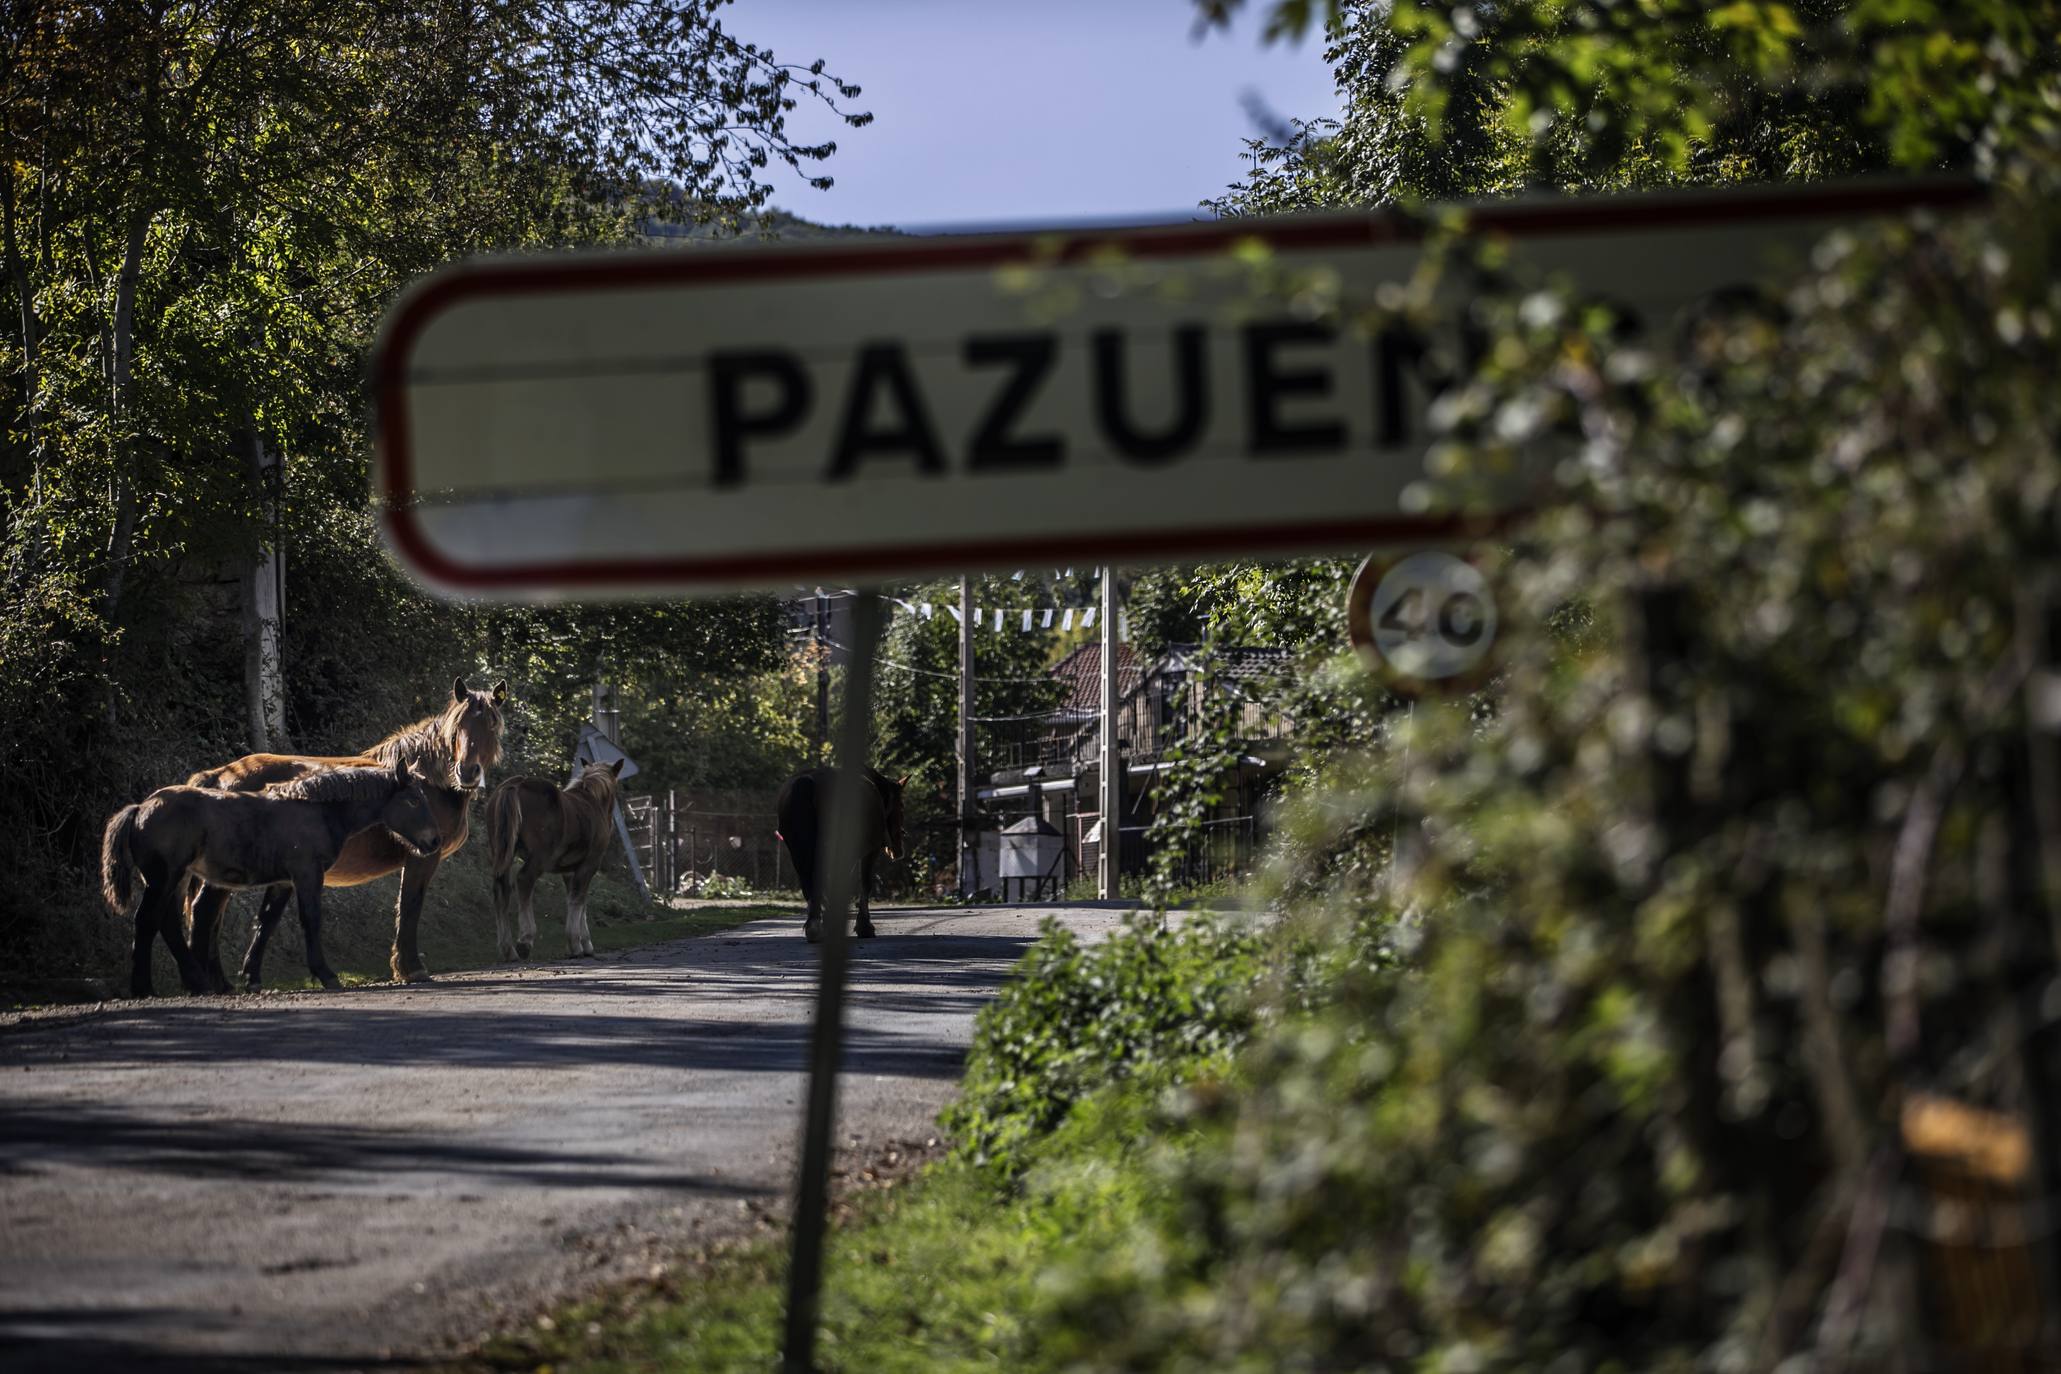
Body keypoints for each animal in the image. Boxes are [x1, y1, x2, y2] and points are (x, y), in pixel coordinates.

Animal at [100, 753, 443, 1001]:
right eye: (413, 800)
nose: (434, 841)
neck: (317, 810)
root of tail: (141, 806)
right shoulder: (307, 874)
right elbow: (311, 920)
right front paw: (326, 975)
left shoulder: (283, 881)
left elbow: (267, 921)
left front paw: (252, 978)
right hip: (164, 878)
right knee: (149, 920)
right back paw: (145, 987)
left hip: (178, 878)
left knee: (170, 921)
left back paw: (197, 982)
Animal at [184, 675, 507, 988]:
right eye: (458, 726)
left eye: (491, 724)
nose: (468, 772)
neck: (430, 780)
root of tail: (219, 775)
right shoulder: (421, 857)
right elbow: (410, 906)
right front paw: (411, 969)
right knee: (205, 913)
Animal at [486, 758, 622, 964]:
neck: (594, 802)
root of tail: (516, 784)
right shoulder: (589, 864)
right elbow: (578, 901)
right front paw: (576, 945)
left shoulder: (569, 871)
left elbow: (577, 902)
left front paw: (582, 943)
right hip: (538, 857)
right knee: (524, 880)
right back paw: (525, 940)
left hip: (501, 853)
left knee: (501, 889)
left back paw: (508, 949)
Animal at [774, 762, 902, 947]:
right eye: (901, 806)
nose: (897, 850)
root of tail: (807, 782)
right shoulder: (869, 852)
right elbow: (864, 884)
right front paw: (864, 926)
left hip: (799, 851)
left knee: (809, 882)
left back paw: (814, 927)